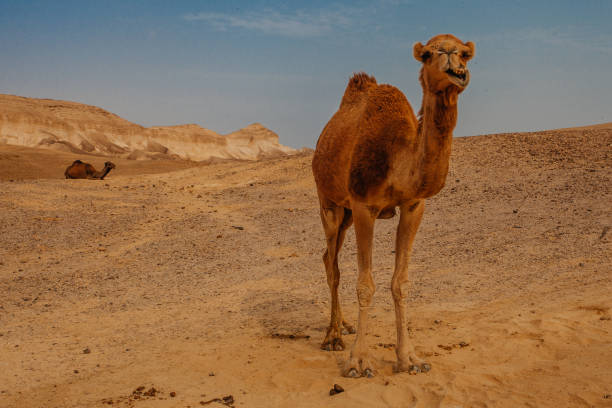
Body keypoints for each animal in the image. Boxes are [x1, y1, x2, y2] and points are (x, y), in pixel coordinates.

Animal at [314, 33, 476, 378]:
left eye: (465, 54)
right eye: (428, 54)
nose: (456, 69)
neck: (396, 158)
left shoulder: (414, 206)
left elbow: (400, 283)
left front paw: (410, 359)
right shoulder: (364, 205)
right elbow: (365, 284)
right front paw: (359, 362)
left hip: (346, 213)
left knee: (327, 257)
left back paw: (344, 325)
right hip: (330, 202)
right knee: (332, 264)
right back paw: (332, 337)